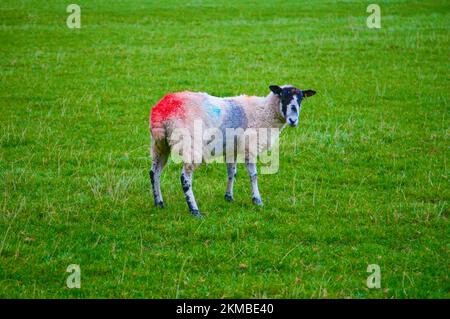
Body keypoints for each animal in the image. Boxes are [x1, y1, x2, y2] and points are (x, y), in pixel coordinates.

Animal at [149, 85, 314, 219]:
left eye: (301, 99)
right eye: (283, 96)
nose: (293, 120)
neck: (264, 112)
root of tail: (162, 110)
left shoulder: (231, 148)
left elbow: (231, 173)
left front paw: (229, 197)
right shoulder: (250, 146)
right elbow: (253, 175)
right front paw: (257, 200)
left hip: (159, 144)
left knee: (154, 172)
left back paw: (159, 202)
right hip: (189, 145)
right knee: (185, 178)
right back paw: (194, 210)